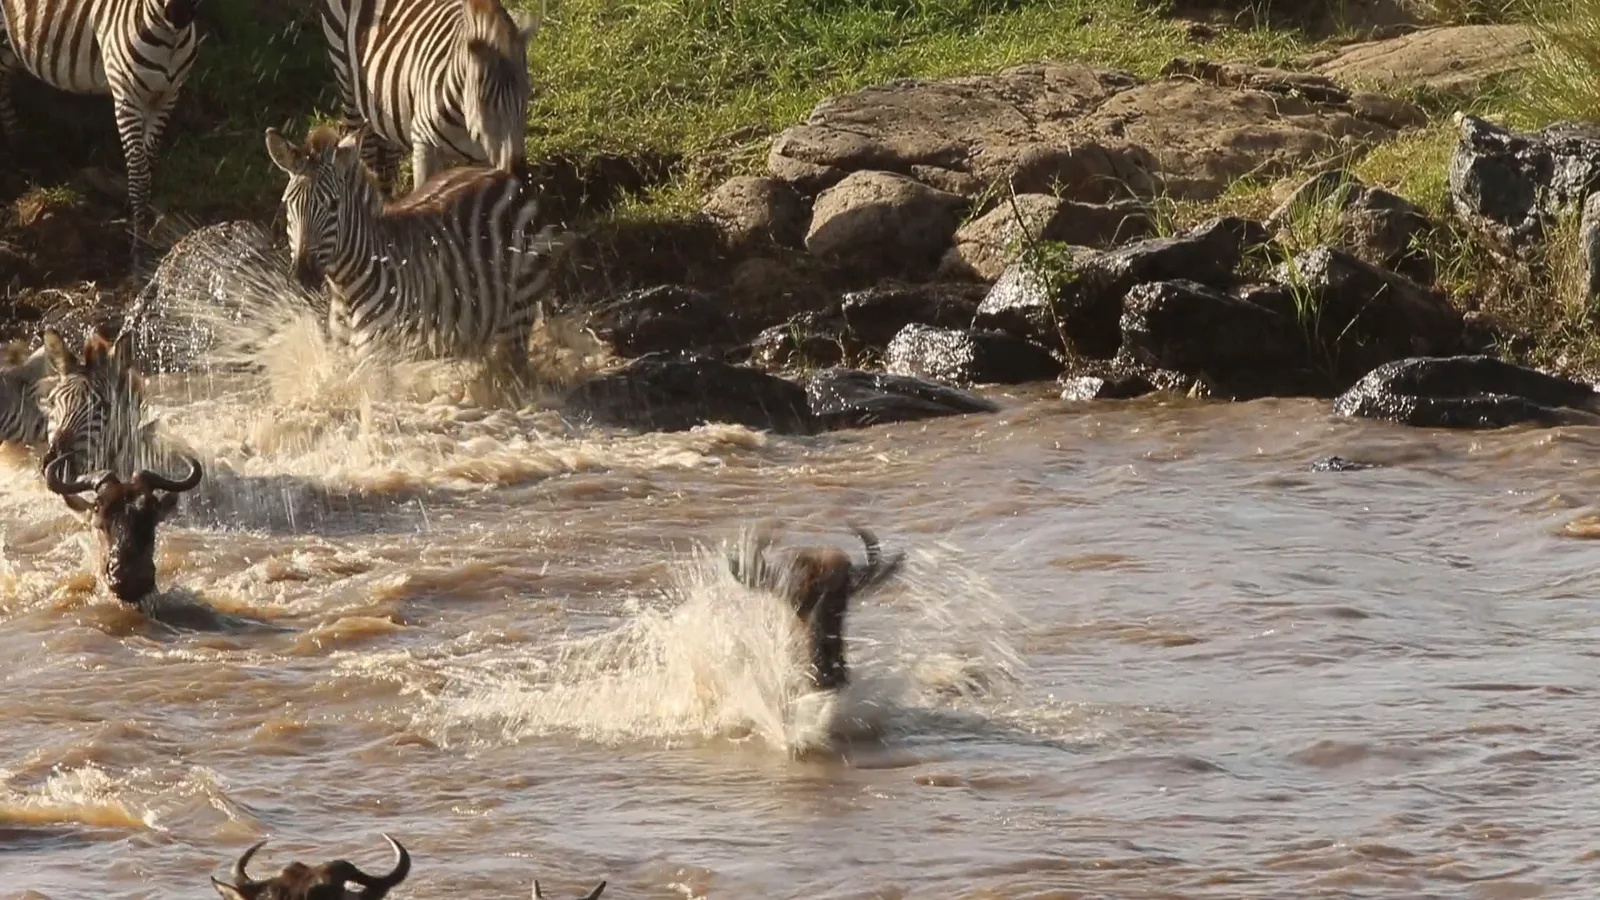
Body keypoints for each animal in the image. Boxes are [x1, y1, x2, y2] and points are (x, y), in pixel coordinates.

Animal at [0, 0, 204, 267]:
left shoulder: (165, 99)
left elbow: (148, 165)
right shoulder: (127, 99)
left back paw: (20, 143)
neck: (171, 38)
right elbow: (139, 176)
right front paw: (139, 251)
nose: (179, 15)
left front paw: (142, 226)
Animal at [263, 123, 571, 372]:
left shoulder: (381, 355)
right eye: (288, 204)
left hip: (518, 312)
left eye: (333, 205)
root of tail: (505, 176)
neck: (345, 289)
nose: (302, 276)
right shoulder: (346, 356)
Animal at [317, 0, 541, 197]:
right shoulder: (424, 144)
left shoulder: (482, 158)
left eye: (526, 95)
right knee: (364, 143)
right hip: (344, 72)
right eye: (483, 100)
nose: (518, 174)